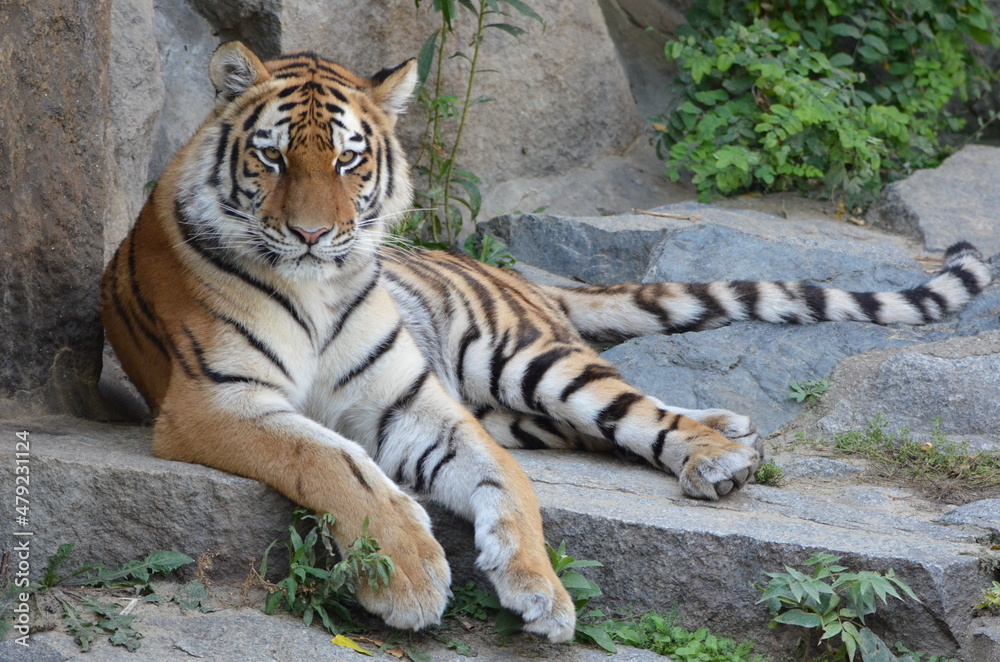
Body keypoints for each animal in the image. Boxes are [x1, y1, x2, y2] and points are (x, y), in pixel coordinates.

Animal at [101, 42, 992, 644]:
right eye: (274, 156)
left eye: (350, 162)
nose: (317, 236)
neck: (320, 287)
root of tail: (514, 274)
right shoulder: (215, 400)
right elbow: (330, 458)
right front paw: (412, 575)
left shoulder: (413, 402)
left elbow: (508, 483)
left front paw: (541, 589)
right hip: (520, 400)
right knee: (597, 426)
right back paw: (735, 438)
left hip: (526, 361)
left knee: (633, 409)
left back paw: (720, 449)